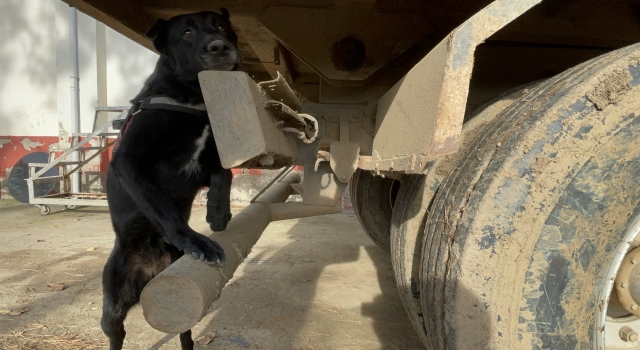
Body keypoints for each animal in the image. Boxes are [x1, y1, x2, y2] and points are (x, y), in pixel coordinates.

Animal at [101, 9, 241, 348]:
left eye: (220, 25)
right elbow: (163, 208)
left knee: (184, 333)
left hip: (186, 309)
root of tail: (152, 272)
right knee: (115, 333)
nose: (219, 47)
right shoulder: (129, 162)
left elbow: (225, 172)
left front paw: (219, 213)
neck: (194, 100)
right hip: (112, 306)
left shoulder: (204, 166)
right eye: (187, 33)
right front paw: (197, 240)